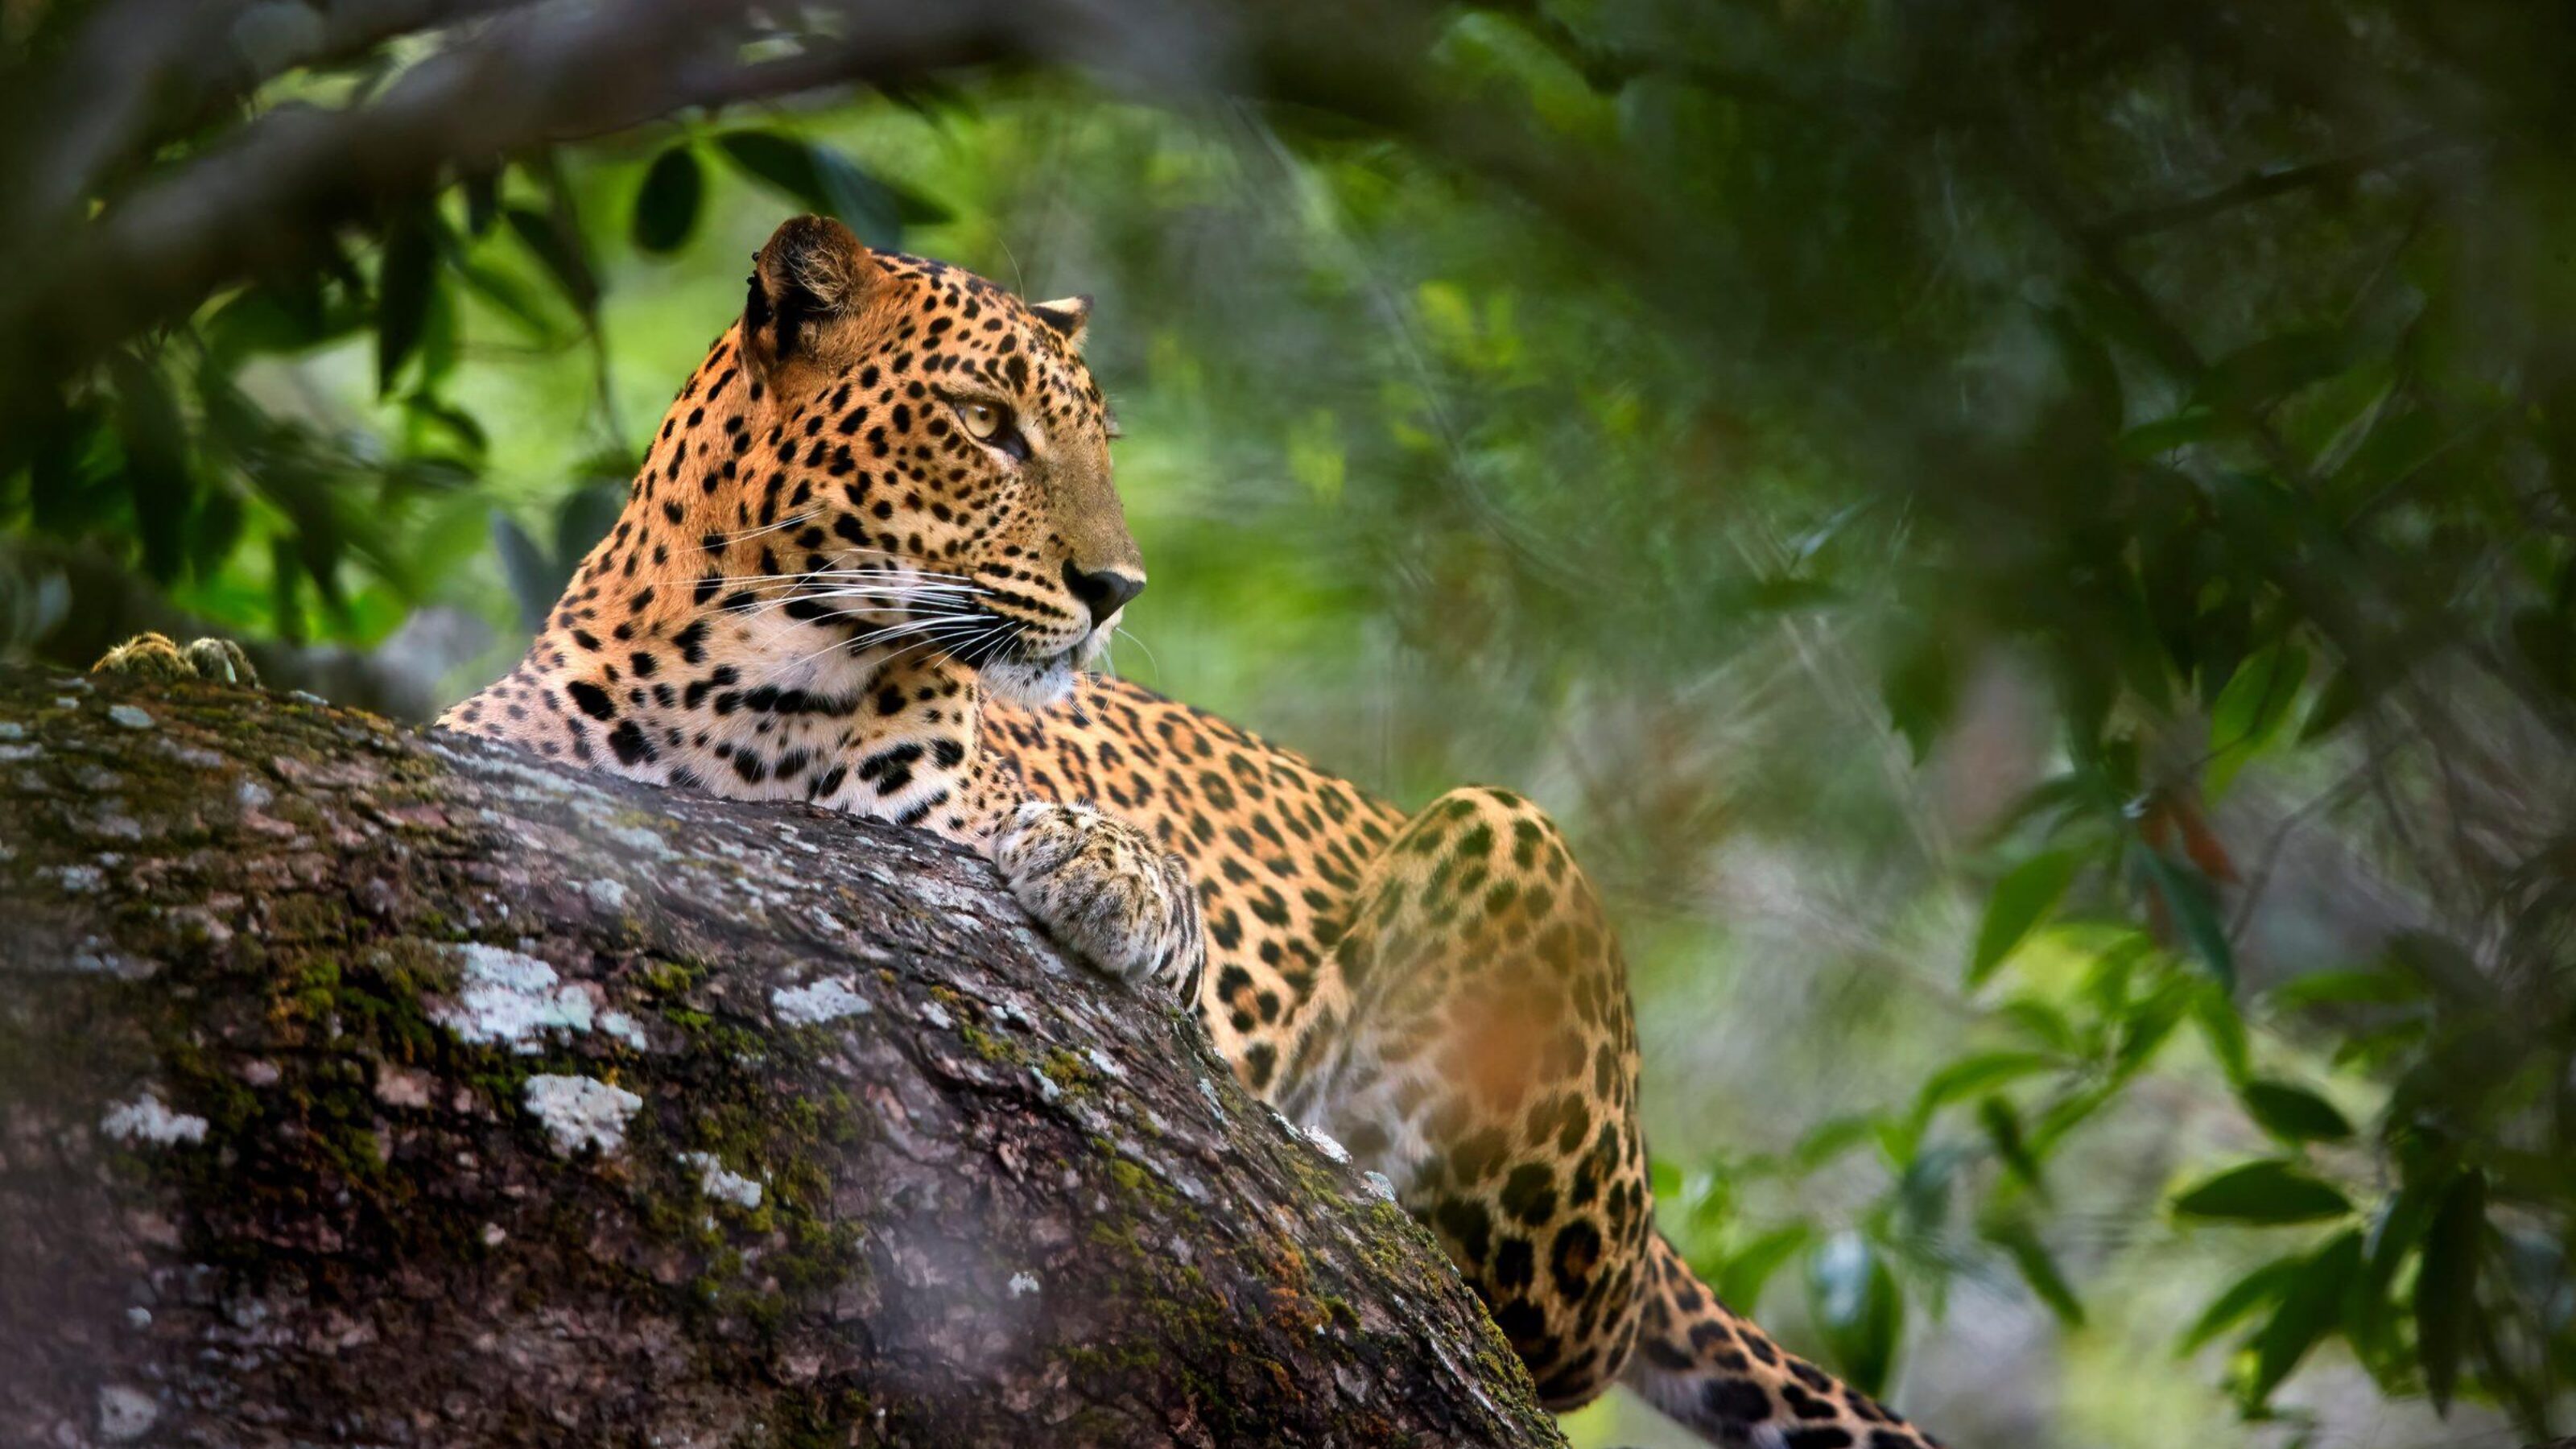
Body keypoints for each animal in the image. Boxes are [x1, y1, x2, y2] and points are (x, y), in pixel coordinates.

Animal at [108, 215, 1946, 1449]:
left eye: (1092, 441)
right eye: (989, 424)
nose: (1117, 586)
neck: (734, 662)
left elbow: (1063, 863)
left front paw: (1107, 873)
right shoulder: (513, 754)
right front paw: (174, 661)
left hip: (1506, 854)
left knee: (1548, 1328)